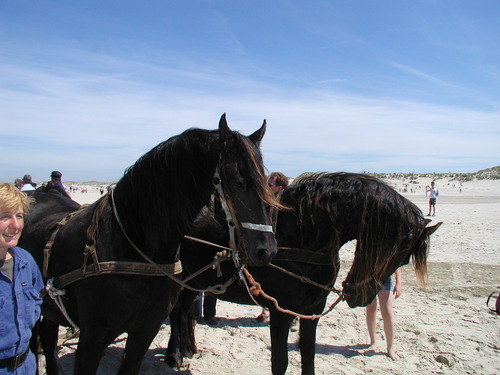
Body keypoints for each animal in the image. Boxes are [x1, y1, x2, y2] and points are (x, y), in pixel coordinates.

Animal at [19, 115, 280, 375]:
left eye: (266, 185)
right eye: (238, 182)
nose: (266, 249)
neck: (133, 246)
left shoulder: (144, 332)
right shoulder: (92, 338)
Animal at [165, 173, 442, 375]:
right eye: (402, 255)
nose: (360, 296)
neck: (299, 235)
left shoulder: (311, 311)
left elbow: (308, 357)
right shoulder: (280, 311)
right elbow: (280, 363)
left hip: (197, 280)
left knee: (184, 309)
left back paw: (186, 349)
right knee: (177, 310)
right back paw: (174, 355)